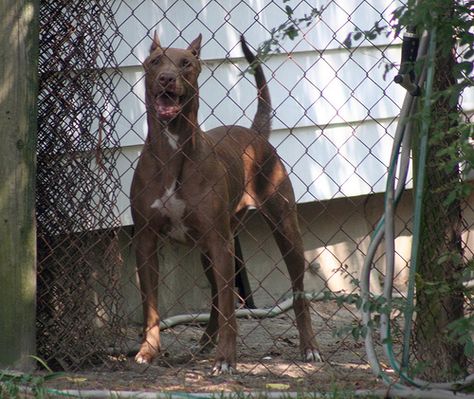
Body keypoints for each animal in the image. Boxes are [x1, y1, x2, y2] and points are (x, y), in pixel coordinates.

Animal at [131, 32, 322, 376]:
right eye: (154, 62)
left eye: (186, 63)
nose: (166, 78)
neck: (172, 150)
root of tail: (256, 133)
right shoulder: (146, 241)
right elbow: (151, 307)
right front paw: (148, 351)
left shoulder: (220, 242)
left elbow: (232, 310)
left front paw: (226, 359)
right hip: (212, 250)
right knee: (219, 297)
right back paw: (207, 340)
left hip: (283, 230)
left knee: (296, 291)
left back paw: (309, 347)